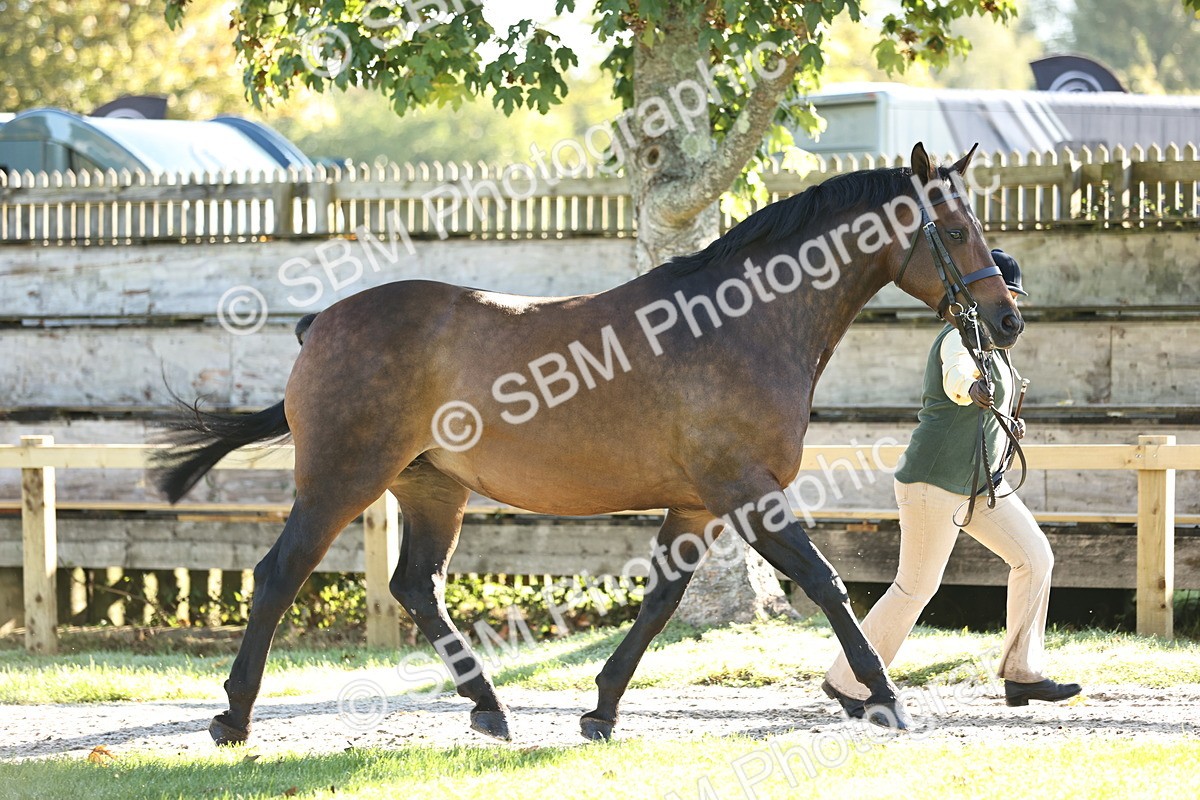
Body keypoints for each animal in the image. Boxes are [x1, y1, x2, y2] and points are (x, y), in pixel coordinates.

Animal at [156, 142, 1023, 745]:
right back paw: (233, 718)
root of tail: (321, 322)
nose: (1008, 319)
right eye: (953, 228)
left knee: (415, 586)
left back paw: (489, 708)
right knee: (279, 575)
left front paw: (601, 709)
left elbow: (661, 602)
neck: (740, 324)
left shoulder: (695, 505)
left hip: (431, 486)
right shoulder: (747, 492)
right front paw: (884, 698)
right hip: (342, 479)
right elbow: (826, 583)